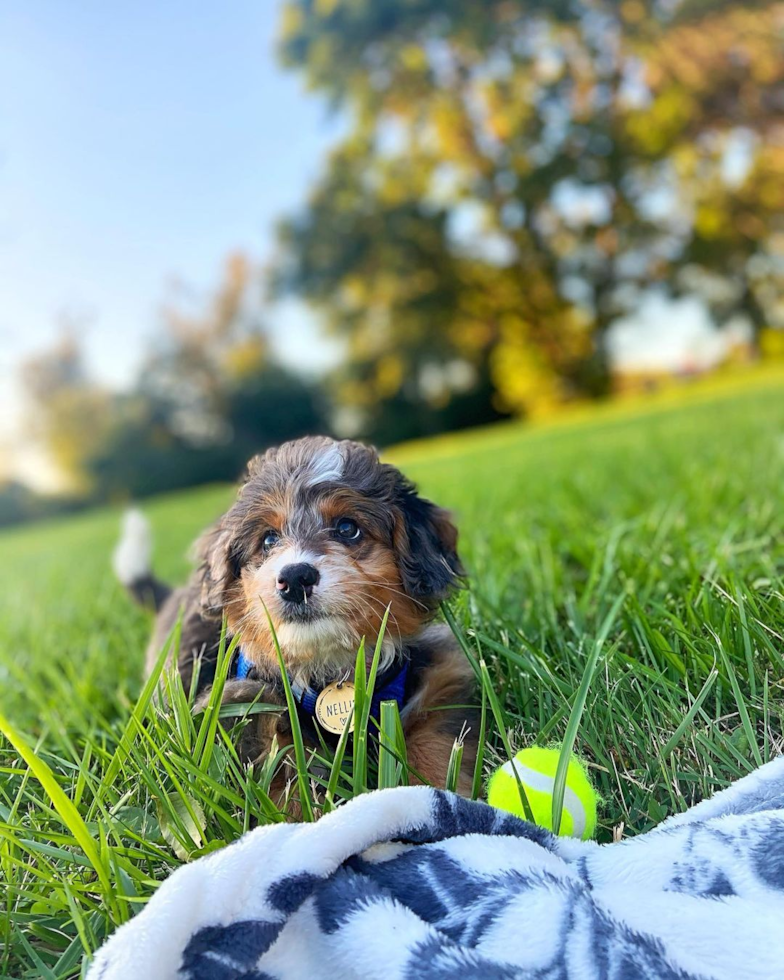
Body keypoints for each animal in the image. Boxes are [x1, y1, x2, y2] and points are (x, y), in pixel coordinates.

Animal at [112, 436, 474, 804]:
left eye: (348, 528)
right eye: (269, 540)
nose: (295, 578)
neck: (326, 669)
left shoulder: (440, 678)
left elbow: (436, 742)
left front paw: (444, 795)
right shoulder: (248, 704)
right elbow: (286, 777)